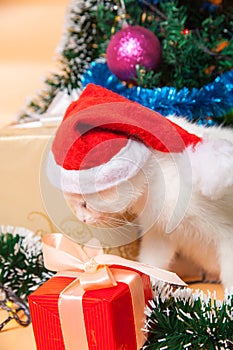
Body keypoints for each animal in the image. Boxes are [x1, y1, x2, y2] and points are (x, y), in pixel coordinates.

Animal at [63, 117, 233, 290]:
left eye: (84, 204)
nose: (82, 219)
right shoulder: (159, 234)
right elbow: (153, 261)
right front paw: (151, 284)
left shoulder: (226, 234)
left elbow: (229, 270)